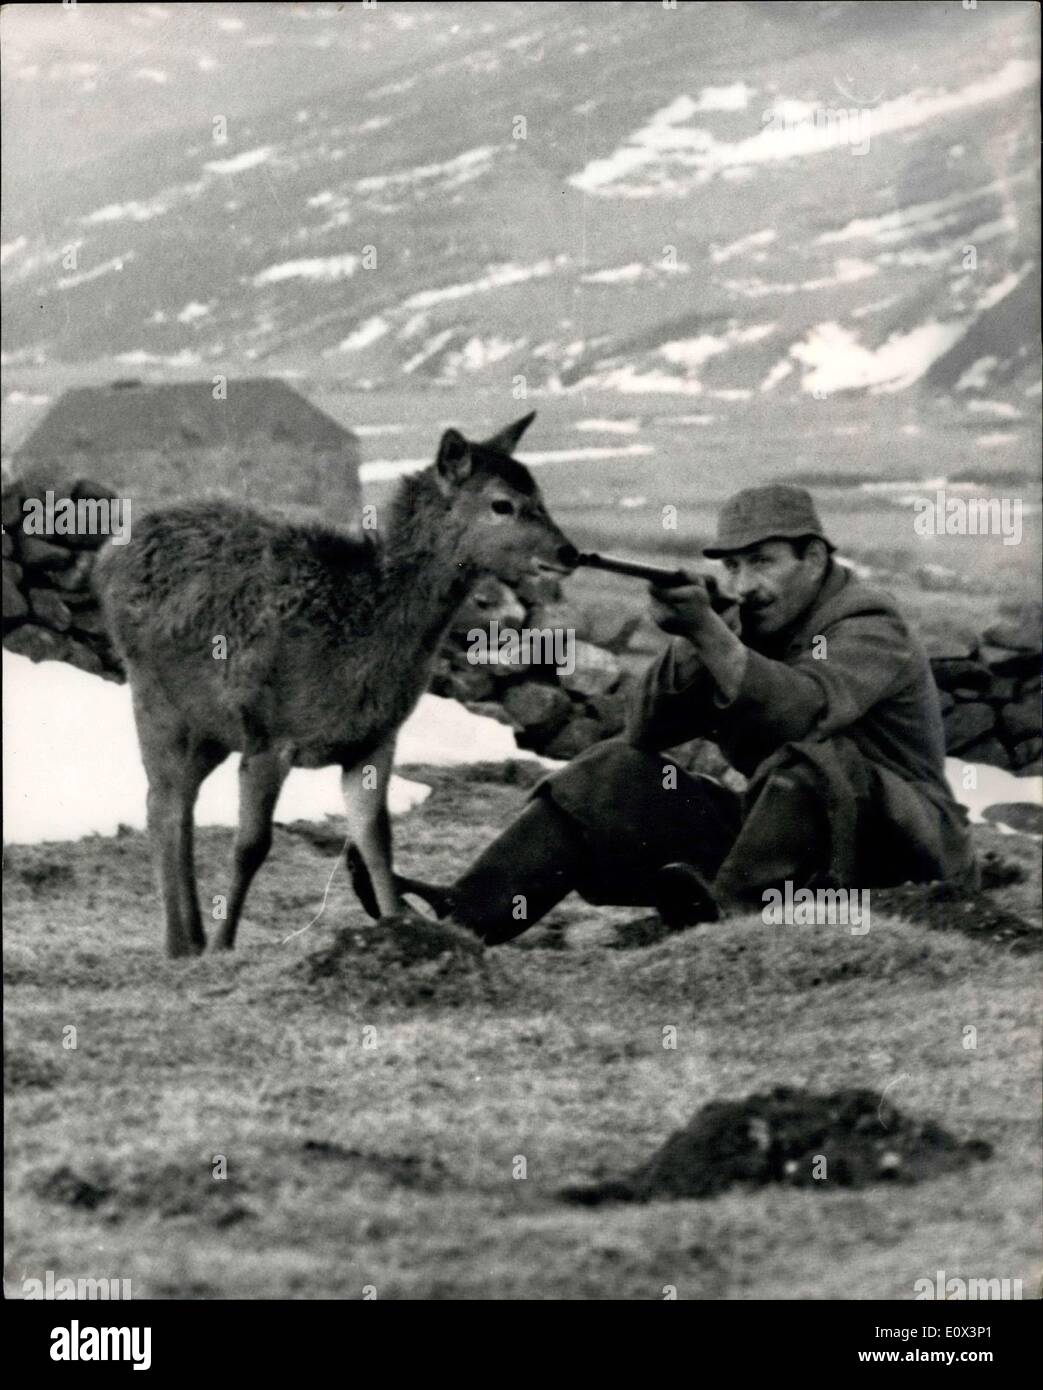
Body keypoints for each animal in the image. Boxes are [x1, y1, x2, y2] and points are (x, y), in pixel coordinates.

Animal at [93, 412, 578, 957]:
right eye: (502, 503)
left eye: (538, 492)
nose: (569, 552)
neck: (358, 649)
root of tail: (109, 554)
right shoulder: (269, 735)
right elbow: (251, 845)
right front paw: (224, 945)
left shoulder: (374, 742)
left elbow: (376, 842)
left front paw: (401, 929)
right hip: (154, 695)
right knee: (163, 804)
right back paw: (183, 941)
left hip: (211, 727)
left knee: (179, 803)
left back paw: (190, 937)